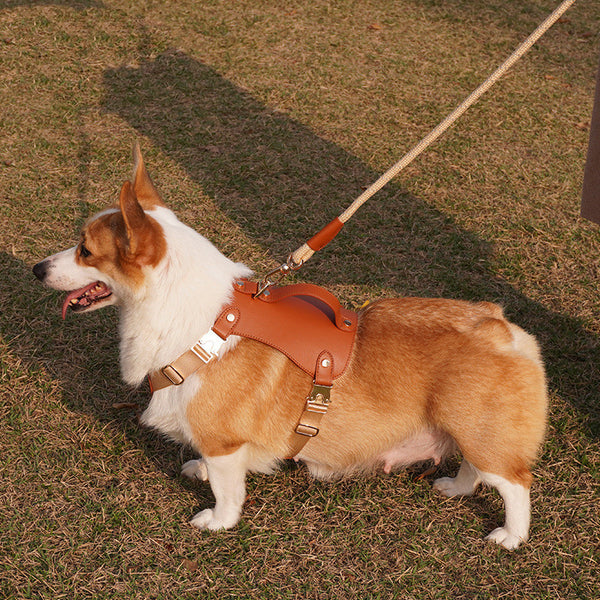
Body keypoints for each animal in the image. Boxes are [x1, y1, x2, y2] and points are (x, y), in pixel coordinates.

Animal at [34, 145, 548, 548]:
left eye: (84, 250)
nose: (37, 269)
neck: (197, 320)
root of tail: (502, 327)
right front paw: (198, 471)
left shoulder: (224, 442)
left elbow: (228, 492)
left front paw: (216, 521)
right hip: (469, 433)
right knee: (476, 470)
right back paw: (454, 489)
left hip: (480, 433)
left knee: (514, 484)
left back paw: (510, 537)